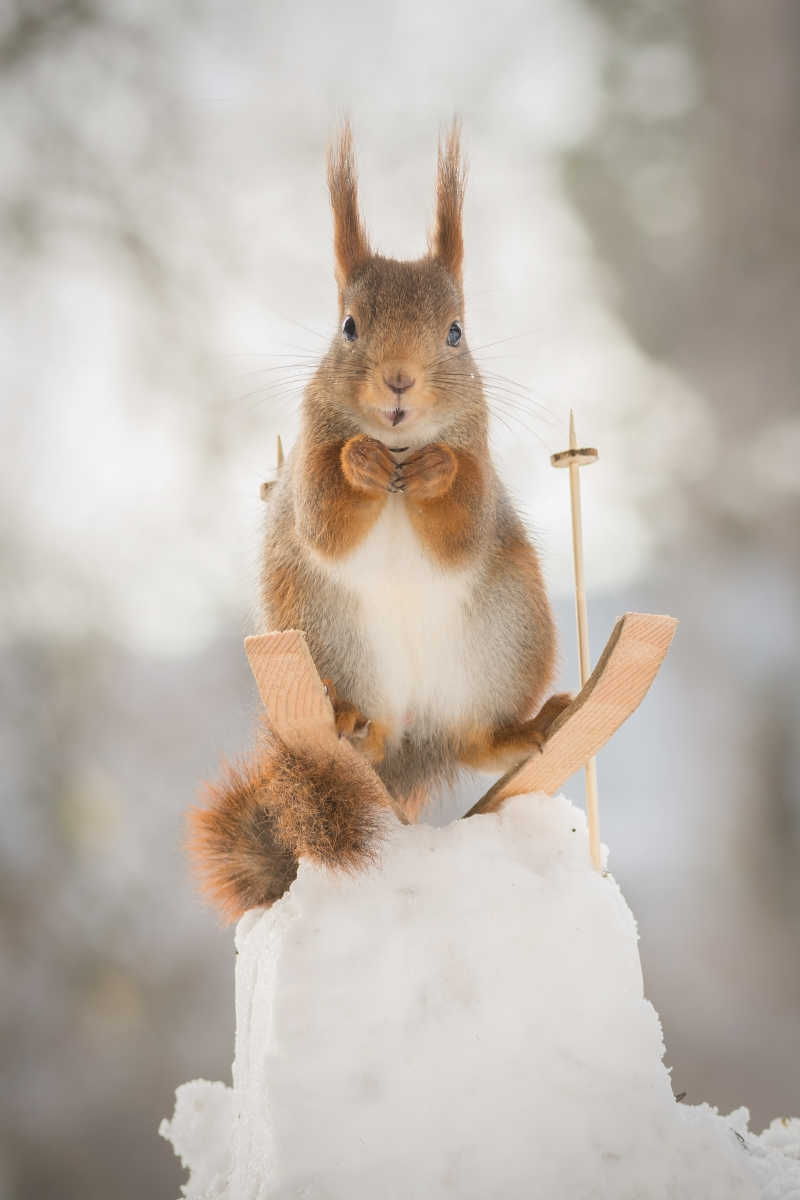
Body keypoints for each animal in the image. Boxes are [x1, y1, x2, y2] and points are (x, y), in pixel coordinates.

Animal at [190, 126, 568, 916]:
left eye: (456, 332)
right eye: (348, 326)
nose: (398, 382)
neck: (399, 449)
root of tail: (413, 735)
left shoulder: (479, 464)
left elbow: (461, 525)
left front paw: (434, 473)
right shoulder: (308, 460)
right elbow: (324, 517)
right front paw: (359, 462)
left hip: (507, 645)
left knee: (474, 740)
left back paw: (522, 734)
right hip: (331, 643)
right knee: (371, 732)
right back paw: (350, 728)